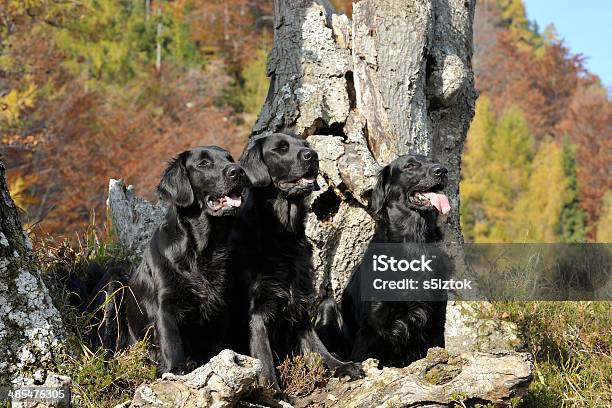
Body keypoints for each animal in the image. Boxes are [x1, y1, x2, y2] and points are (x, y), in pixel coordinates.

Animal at [230, 132, 354, 390]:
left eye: (305, 145)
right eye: (280, 148)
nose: (313, 155)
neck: (281, 235)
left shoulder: (299, 300)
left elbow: (317, 347)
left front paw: (341, 367)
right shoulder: (256, 312)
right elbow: (264, 359)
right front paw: (273, 391)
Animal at [318, 155, 452, 368]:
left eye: (431, 161)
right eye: (410, 165)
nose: (442, 170)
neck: (413, 242)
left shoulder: (436, 320)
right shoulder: (372, 327)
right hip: (328, 305)